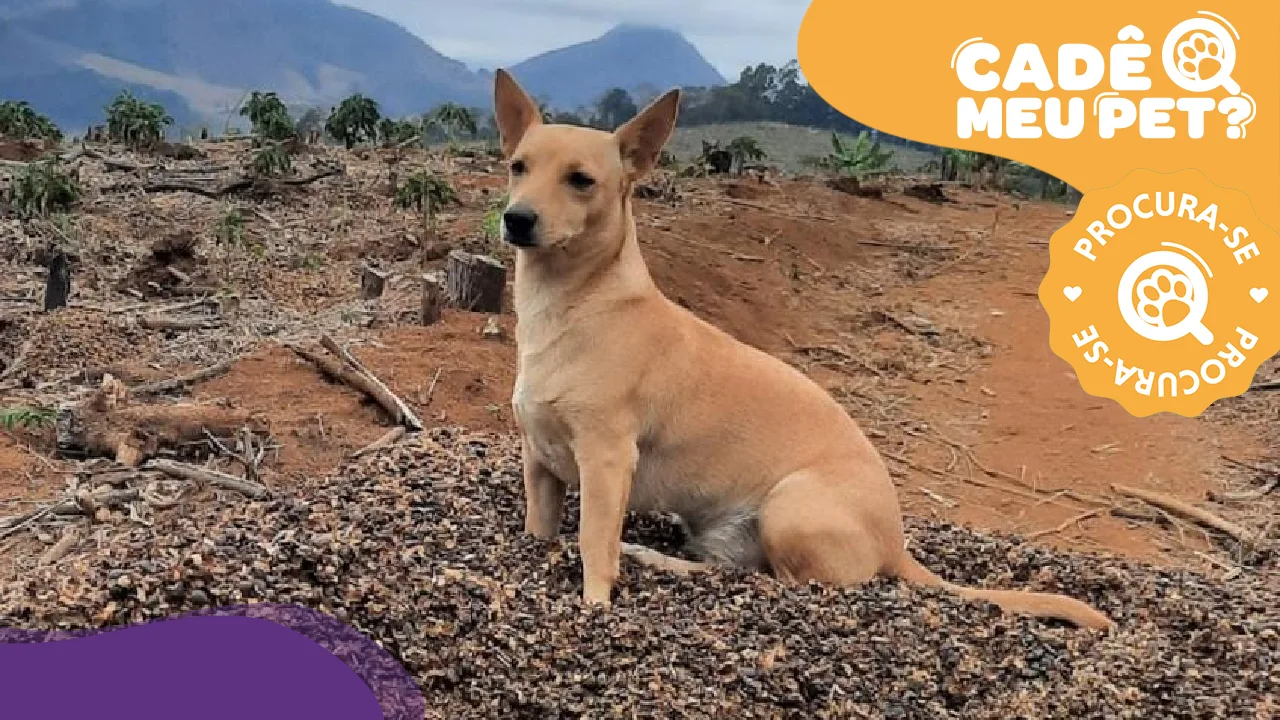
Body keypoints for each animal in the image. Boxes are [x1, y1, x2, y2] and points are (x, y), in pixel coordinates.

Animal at [494, 68, 1116, 627]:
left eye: (581, 180)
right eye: (517, 167)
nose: (515, 218)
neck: (573, 304)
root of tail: (896, 544)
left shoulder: (606, 461)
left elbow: (593, 544)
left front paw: (595, 605)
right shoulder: (539, 462)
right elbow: (540, 529)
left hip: (789, 506)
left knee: (781, 585)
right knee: (733, 571)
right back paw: (657, 557)